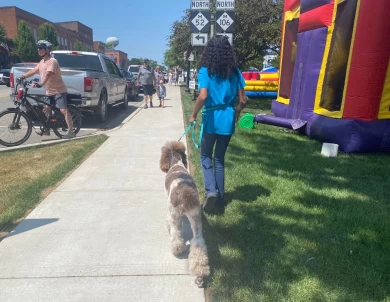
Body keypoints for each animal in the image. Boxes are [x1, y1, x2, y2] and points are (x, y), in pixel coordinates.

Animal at [160, 142, 210, 288]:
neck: (176, 163)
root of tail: (186, 194)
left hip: (173, 213)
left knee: (176, 235)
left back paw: (177, 249)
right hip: (196, 218)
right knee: (198, 244)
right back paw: (199, 276)